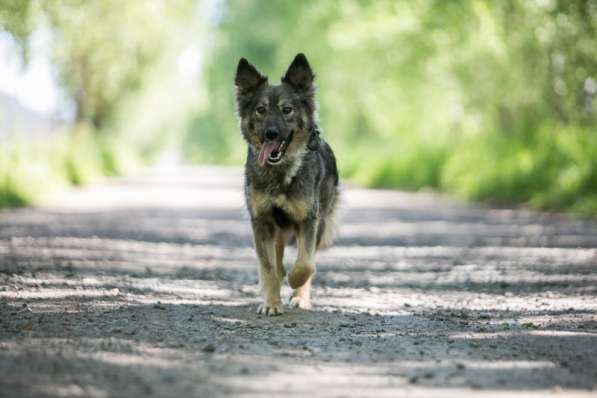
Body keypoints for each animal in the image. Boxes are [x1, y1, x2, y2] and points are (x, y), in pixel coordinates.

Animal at [236, 52, 340, 316]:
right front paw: (271, 303)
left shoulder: (309, 219)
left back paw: (299, 296)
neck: (280, 173)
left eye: (287, 110)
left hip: (321, 220)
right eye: (261, 110)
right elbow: (268, 267)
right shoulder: (261, 221)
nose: (271, 134)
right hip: (277, 229)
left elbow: (306, 264)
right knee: (276, 257)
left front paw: (295, 282)